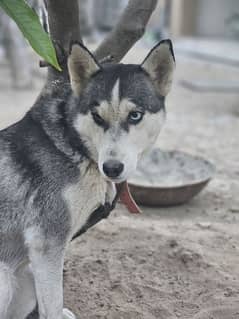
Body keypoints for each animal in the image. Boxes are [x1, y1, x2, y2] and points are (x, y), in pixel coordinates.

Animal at [0, 40, 176, 319]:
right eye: (97, 117)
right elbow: (52, 305)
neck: (74, 147)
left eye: (135, 115)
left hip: (24, 279)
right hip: (6, 279)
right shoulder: (47, 244)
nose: (112, 168)